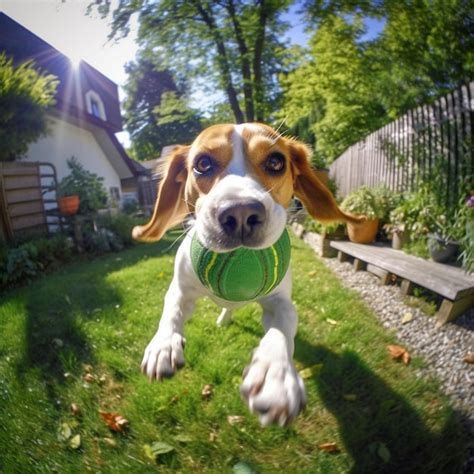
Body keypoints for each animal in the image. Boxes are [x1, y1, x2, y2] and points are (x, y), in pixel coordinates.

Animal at [133, 122, 362, 426]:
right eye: (202, 164)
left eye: (276, 162)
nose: (240, 214)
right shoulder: (180, 290)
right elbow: (171, 312)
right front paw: (163, 346)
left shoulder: (281, 303)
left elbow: (281, 331)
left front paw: (275, 378)